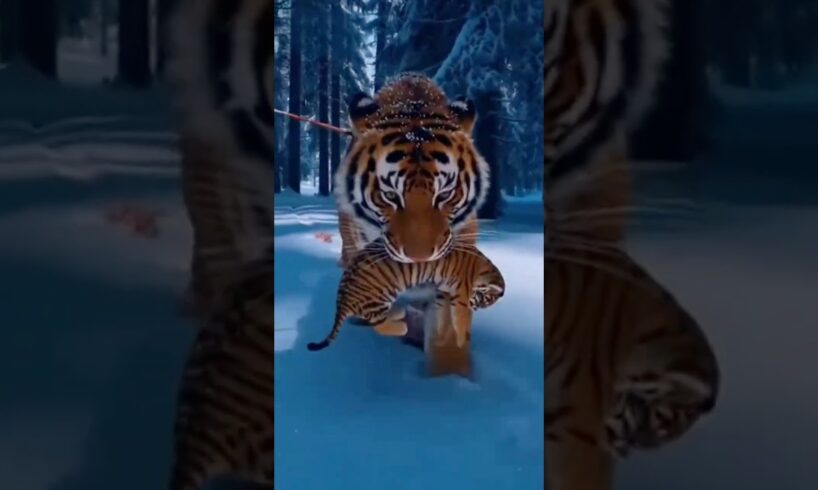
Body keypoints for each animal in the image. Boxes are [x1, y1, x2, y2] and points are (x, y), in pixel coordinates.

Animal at [307, 240, 505, 352]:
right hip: (381, 297)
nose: (475, 307)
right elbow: (460, 319)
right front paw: (461, 340)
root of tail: (341, 299)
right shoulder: (460, 296)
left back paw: (399, 314)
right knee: (379, 324)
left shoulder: (443, 291)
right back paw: (401, 325)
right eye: (485, 300)